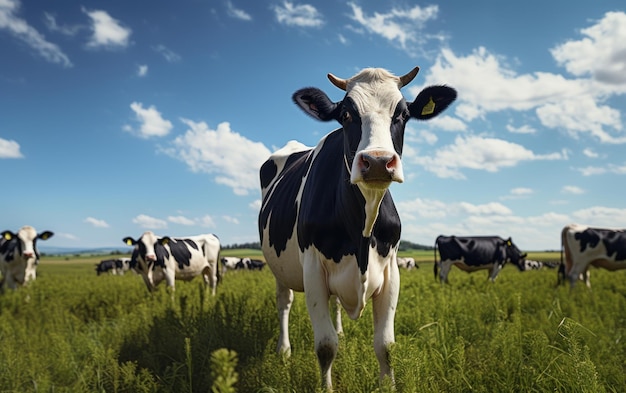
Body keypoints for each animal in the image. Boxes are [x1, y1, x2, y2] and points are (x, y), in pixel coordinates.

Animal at [256, 66, 456, 388]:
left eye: (403, 114)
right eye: (346, 114)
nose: (377, 161)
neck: (362, 232)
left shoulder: (391, 270)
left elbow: (386, 346)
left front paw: (388, 386)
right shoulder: (313, 269)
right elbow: (326, 346)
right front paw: (326, 388)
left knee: (335, 303)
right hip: (278, 266)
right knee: (284, 301)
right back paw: (283, 350)